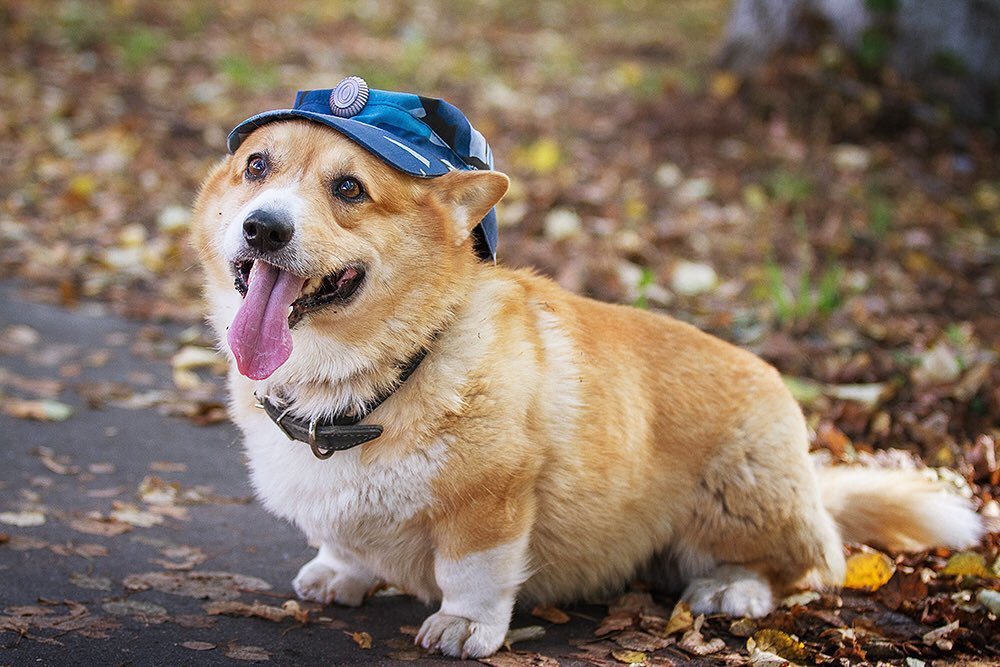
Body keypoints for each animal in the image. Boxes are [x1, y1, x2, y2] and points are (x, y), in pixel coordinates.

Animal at [193, 86, 984, 660]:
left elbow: (472, 572)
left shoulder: (493, 502)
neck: (374, 380)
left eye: (350, 189)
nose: (265, 227)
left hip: (739, 500)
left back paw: (733, 591)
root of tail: (811, 467)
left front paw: (463, 627)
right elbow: (346, 540)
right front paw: (339, 572)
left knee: (808, 567)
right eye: (257, 166)